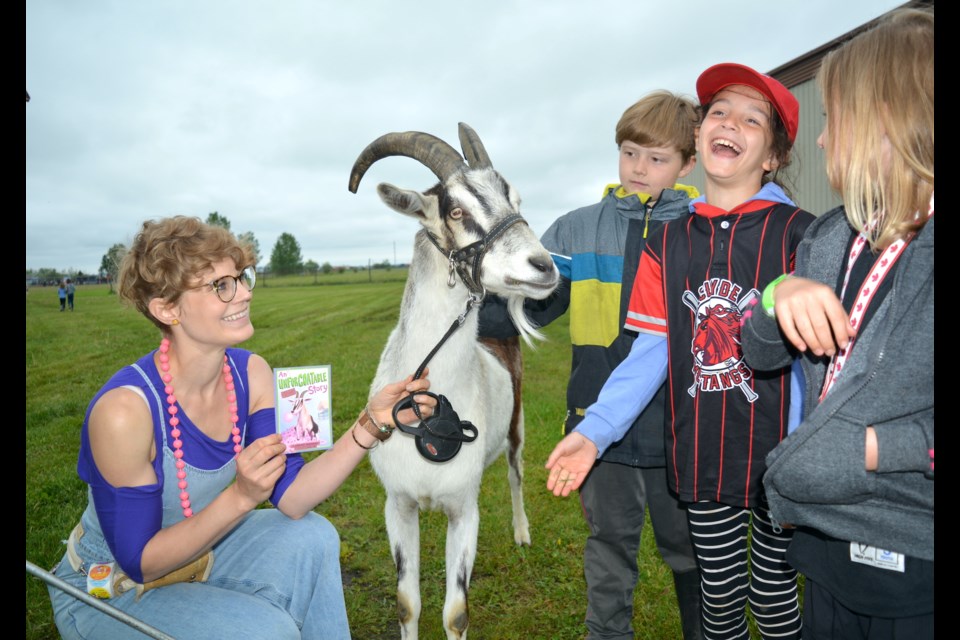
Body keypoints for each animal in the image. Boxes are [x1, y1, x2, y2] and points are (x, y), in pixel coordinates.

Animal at [348, 122, 560, 636]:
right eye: (457, 209)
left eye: (515, 199)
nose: (544, 266)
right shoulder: (398, 504)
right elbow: (407, 603)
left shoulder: (464, 510)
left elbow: (456, 611)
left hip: (518, 426)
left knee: (516, 472)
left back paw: (522, 533)